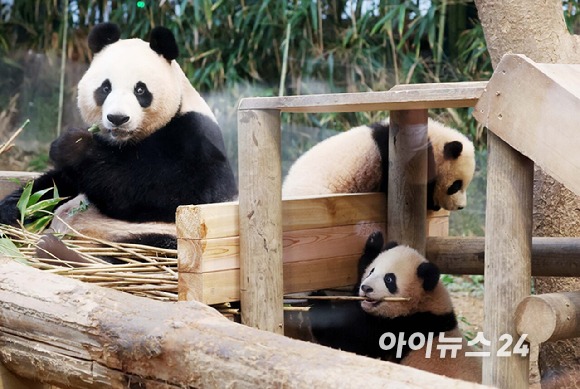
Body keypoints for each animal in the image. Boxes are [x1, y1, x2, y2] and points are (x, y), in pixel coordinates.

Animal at [0, 22, 238, 247]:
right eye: (105, 88)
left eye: (140, 90)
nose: (117, 118)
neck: (126, 142)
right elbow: (52, 186)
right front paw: (13, 210)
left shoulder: (196, 138)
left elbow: (172, 190)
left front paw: (73, 145)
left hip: (153, 236)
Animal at [310, 230, 482, 382]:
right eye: (371, 271)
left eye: (389, 279)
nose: (366, 288)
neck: (422, 303)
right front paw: (374, 243)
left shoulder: (400, 329)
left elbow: (348, 342)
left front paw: (318, 303)